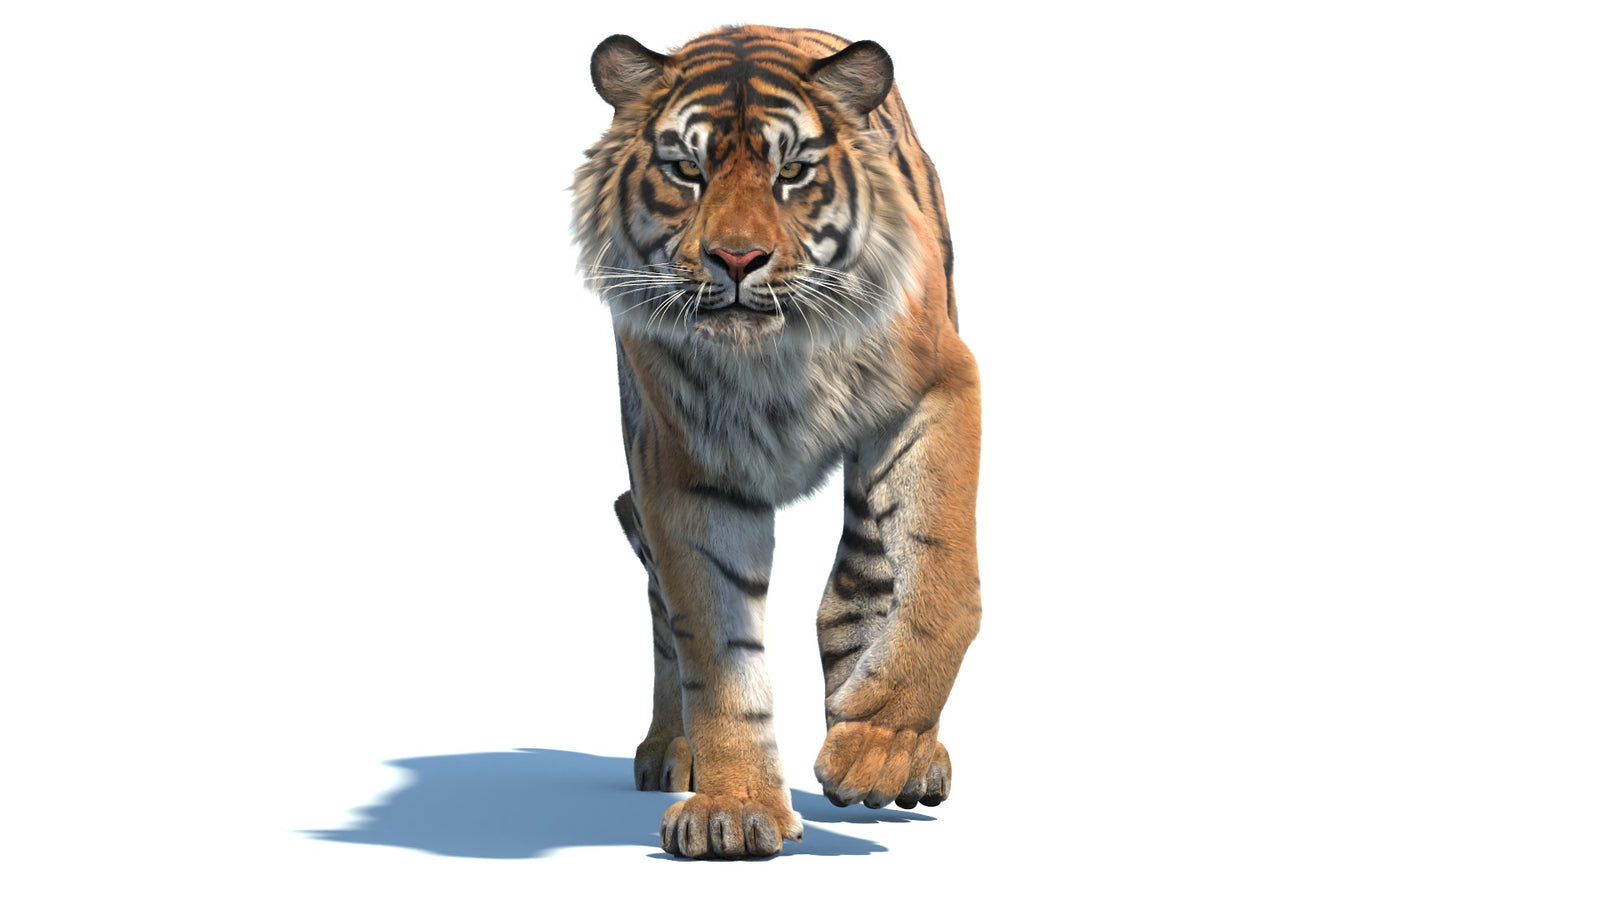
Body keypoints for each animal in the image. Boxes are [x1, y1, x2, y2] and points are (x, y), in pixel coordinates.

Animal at [571, 24, 981, 859]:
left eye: (792, 172)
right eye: (686, 171)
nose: (736, 260)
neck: (772, 360)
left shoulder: (939, 388)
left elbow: (942, 581)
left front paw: (880, 747)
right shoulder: (683, 470)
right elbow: (716, 650)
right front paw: (732, 809)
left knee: (859, 586)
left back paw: (894, 754)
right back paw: (671, 750)